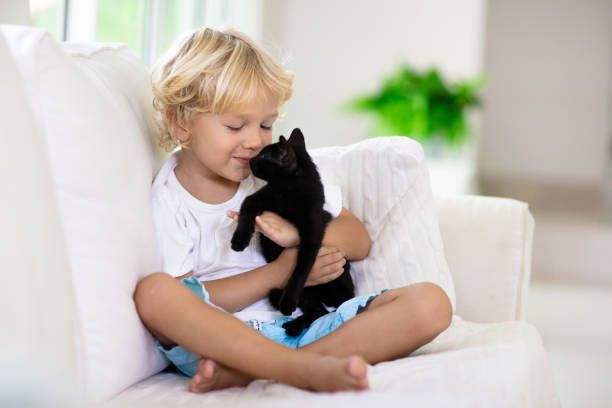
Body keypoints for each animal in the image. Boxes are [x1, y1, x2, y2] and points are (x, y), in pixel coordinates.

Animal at [230, 129, 354, 336]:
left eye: (263, 156)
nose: (250, 159)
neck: (289, 190)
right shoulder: (260, 198)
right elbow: (246, 207)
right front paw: (239, 239)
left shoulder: (313, 233)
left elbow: (301, 269)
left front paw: (288, 301)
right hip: (295, 294)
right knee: (318, 311)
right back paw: (295, 326)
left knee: (324, 312)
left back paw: (293, 322)